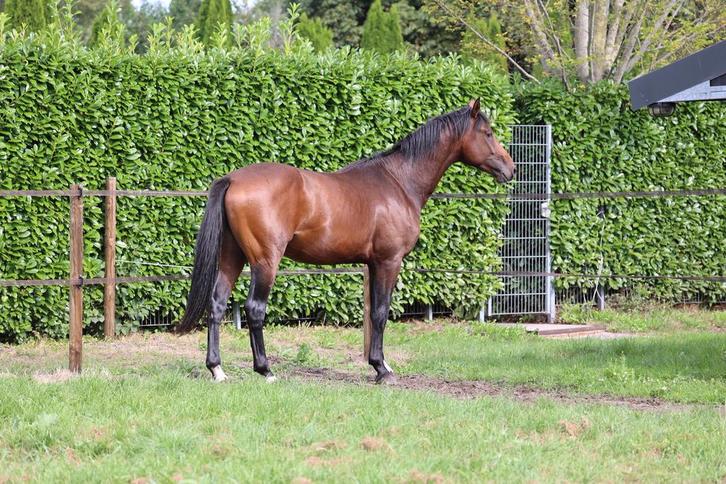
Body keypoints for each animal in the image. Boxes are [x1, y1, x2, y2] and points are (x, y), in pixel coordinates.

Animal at [177, 99, 516, 384]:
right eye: (487, 132)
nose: (510, 168)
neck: (399, 182)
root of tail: (233, 179)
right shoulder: (389, 261)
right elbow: (380, 312)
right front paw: (381, 369)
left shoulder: (373, 264)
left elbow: (373, 312)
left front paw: (381, 364)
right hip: (265, 261)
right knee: (254, 309)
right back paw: (266, 370)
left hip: (232, 257)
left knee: (217, 304)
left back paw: (217, 370)